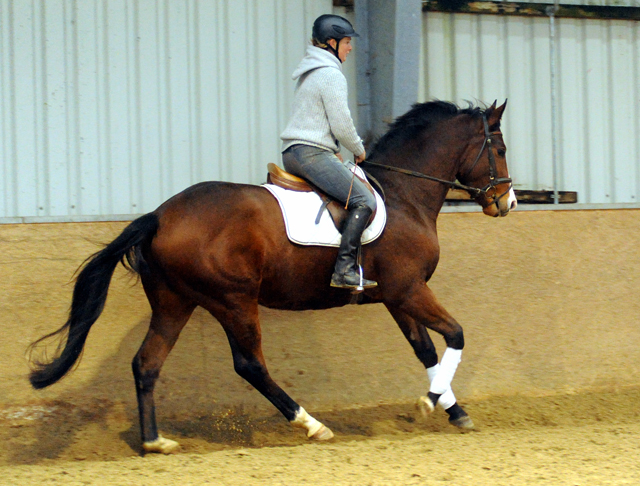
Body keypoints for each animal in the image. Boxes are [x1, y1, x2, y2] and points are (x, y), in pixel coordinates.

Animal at [28, 100, 516, 454]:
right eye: (501, 149)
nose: (507, 203)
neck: (403, 196)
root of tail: (161, 215)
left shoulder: (397, 296)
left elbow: (426, 349)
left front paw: (454, 410)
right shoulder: (409, 289)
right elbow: (455, 335)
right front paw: (431, 402)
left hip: (175, 301)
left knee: (147, 363)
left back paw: (155, 441)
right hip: (233, 299)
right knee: (250, 364)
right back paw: (311, 424)